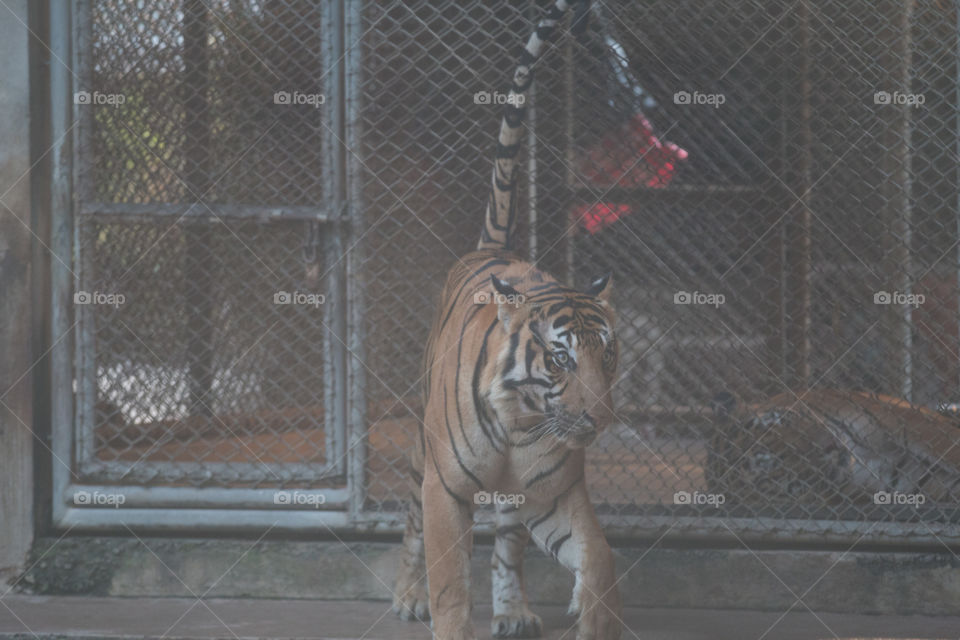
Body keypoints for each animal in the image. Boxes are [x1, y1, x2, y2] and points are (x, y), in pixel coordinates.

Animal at [392, 2, 624, 636]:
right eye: (562, 357)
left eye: (608, 356)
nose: (600, 419)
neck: (523, 419)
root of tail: (491, 248)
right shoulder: (444, 490)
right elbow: (450, 583)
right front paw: (438, 610)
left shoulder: (555, 497)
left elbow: (598, 561)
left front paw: (588, 613)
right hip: (420, 456)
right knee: (411, 526)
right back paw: (408, 596)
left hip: (518, 506)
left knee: (507, 547)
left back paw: (514, 610)